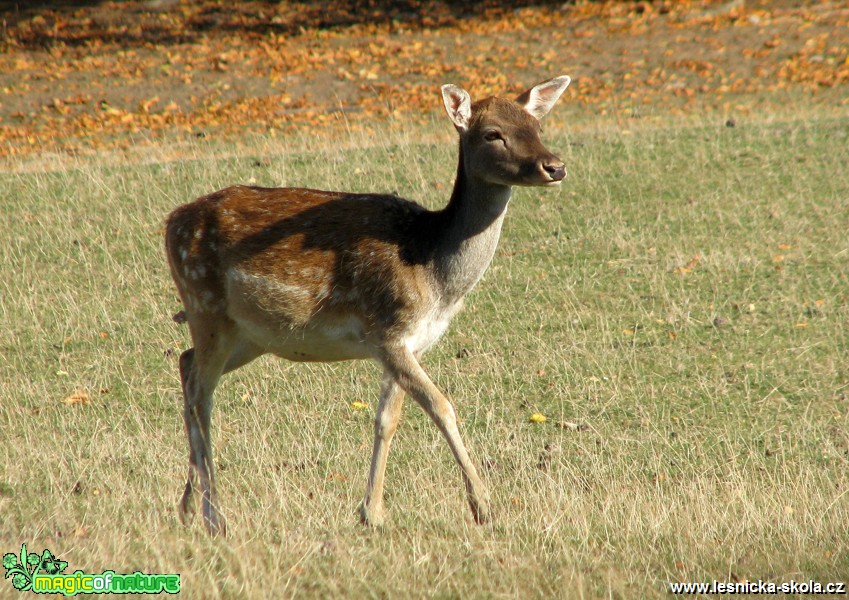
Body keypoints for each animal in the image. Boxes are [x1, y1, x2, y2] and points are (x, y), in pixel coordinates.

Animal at [165, 76, 568, 536]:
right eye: (493, 134)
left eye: (537, 126)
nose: (555, 167)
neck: (434, 271)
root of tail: (169, 222)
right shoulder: (387, 331)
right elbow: (442, 407)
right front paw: (483, 506)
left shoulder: (409, 343)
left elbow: (386, 420)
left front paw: (371, 512)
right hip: (204, 303)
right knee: (200, 392)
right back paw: (214, 515)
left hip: (250, 334)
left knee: (186, 363)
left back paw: (187, 506)